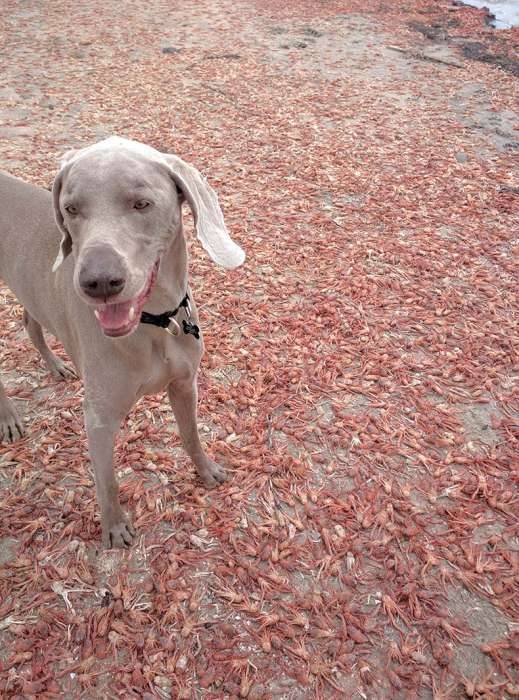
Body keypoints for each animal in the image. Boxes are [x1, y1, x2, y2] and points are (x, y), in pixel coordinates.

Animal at [0, 137, 246, 548]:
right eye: (71, 209)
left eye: (141, 204)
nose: (98, 282)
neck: (157, 323)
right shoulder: (99, 418)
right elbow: (107, 481)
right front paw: (114, 527)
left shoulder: (185, 385)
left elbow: (191, 435)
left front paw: (207, 470)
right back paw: (9, 417)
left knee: (31, 322)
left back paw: (56, 365)